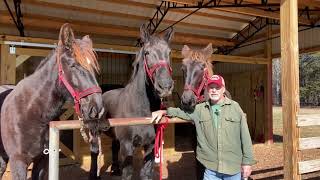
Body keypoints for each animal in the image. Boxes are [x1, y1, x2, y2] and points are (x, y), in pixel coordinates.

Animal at [0, 23, 105, 180]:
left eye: (93, 67)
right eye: (73, 65)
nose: (97, 108)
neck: (31, 112)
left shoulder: (43, 161)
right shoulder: (18, 162)